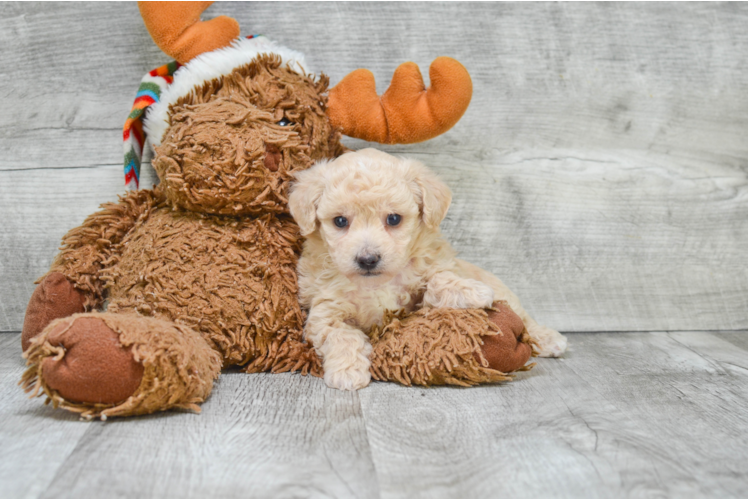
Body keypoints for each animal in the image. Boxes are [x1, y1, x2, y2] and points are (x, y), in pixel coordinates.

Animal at [288, 148, 568, 390]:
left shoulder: (418, 294)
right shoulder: (325, 311)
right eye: (340, 221)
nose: (367, 259)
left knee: (526, 320)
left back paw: (549, 339)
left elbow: (437, 280)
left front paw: (471, 291)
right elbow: (342, 336)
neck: (377, 283)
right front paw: (347, 372)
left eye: (393, 219)